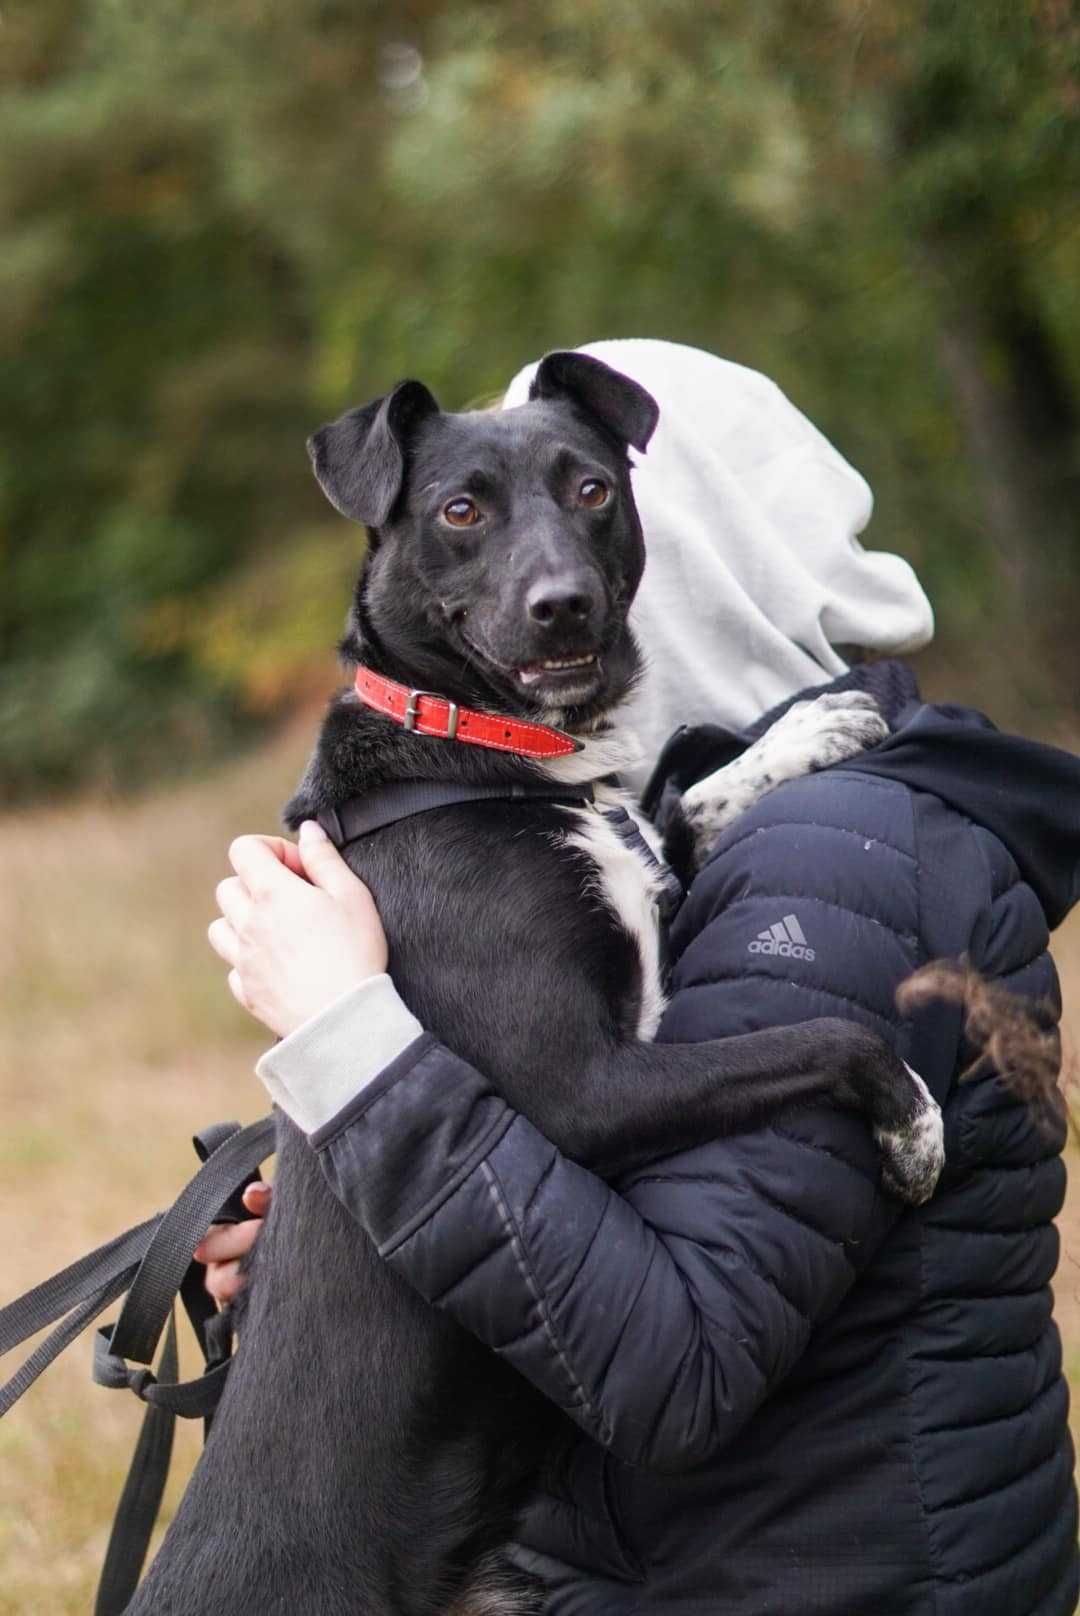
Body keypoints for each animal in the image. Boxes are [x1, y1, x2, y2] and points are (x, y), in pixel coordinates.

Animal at [128, 353, 944, 1616]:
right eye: (462, 509)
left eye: (592, 488)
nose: (564, 604)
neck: (483, 758)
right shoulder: (581, 1089)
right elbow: (822, 1035)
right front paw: (914, 1127)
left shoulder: (643, 893)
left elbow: (682, 803)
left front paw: (815, 725)